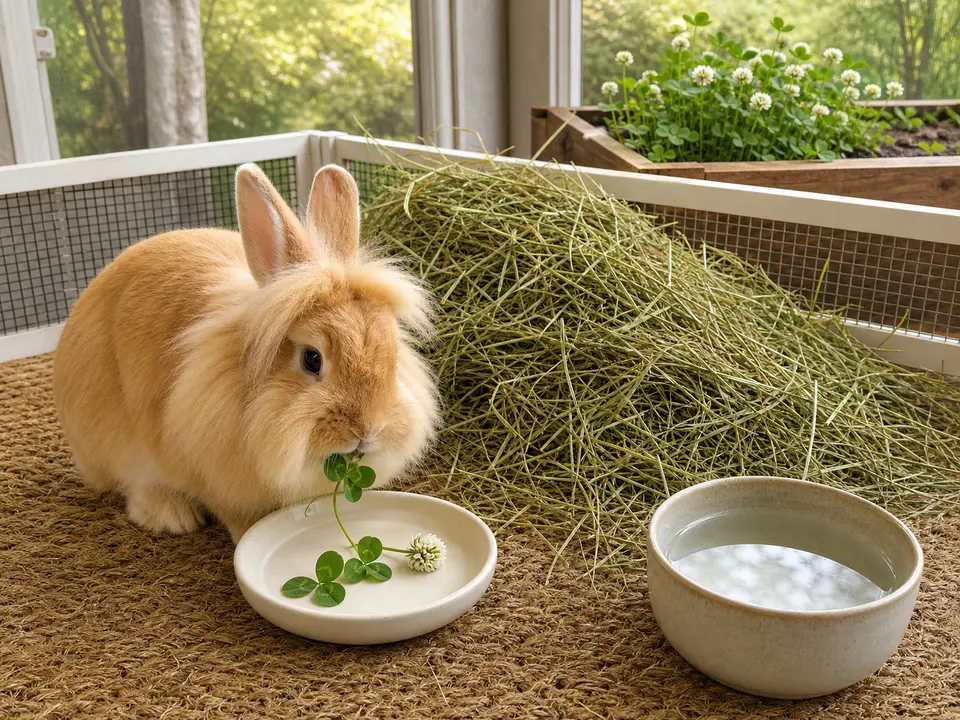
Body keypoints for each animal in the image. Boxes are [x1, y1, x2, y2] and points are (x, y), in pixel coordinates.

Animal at [52, 163, 440, 542]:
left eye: (392, 350)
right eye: (312, 359)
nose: (369, 430)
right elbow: (236, 516)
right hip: (115, 445)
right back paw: (171, 514)